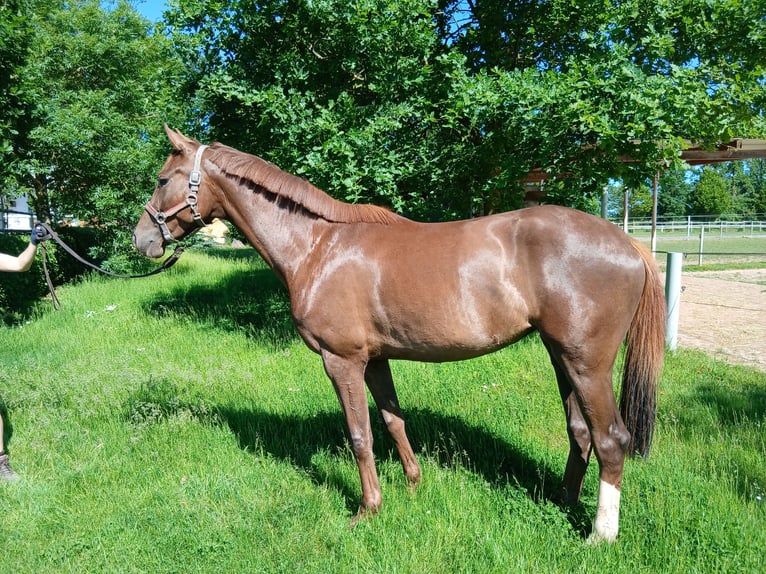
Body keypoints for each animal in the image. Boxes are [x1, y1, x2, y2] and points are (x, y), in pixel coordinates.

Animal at [133, 126, 665, 543]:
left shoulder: (341, 360)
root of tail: (627, 243)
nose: (141, 239)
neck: (317, 247)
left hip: (587, 363)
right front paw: (412, 484)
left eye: (162, 179)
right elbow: (392, 421)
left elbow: (359, 435)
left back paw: (600, 534)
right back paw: (561, 501)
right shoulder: (376, 358)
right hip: (560, 357)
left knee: (611, 438)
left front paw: (368, 509)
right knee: (581, 433)